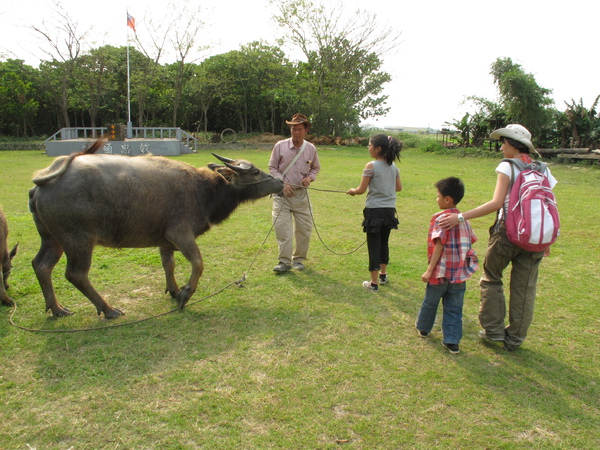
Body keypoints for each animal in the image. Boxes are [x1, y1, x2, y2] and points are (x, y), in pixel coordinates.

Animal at [27, 140, 282, 316]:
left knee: (41, 265)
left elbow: (168, 264)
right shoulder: (180, 233)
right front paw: (185, 294)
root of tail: (43, 184)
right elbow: (198, 263)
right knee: (76, 274)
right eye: (255, 172)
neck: (204, 189)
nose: (279, 182)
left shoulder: (165, 239)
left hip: (52, 238)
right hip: (78, 240)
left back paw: (56, 308)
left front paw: (174, 290)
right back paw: (108, 309)